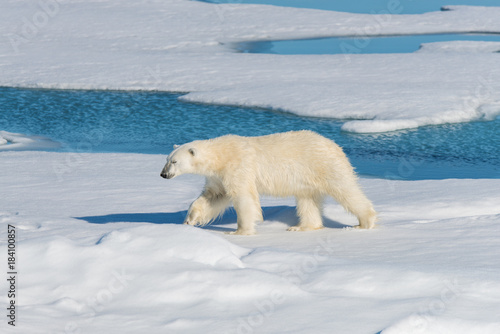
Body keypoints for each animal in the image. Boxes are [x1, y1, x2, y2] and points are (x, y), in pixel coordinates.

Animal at [160, 130, 376, 235]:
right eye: (167, 159)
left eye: (174, 162)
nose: (163, 174)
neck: (221, 155)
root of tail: (335, 145)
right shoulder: (218, 176)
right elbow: (213, 197)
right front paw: (190, 219)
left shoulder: (238, 167)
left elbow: (243, 198)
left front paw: (239, 232)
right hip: (307, 178)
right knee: (307, 200)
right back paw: (300, 227)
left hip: (324, 165)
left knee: (346, 190)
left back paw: (364, 223)